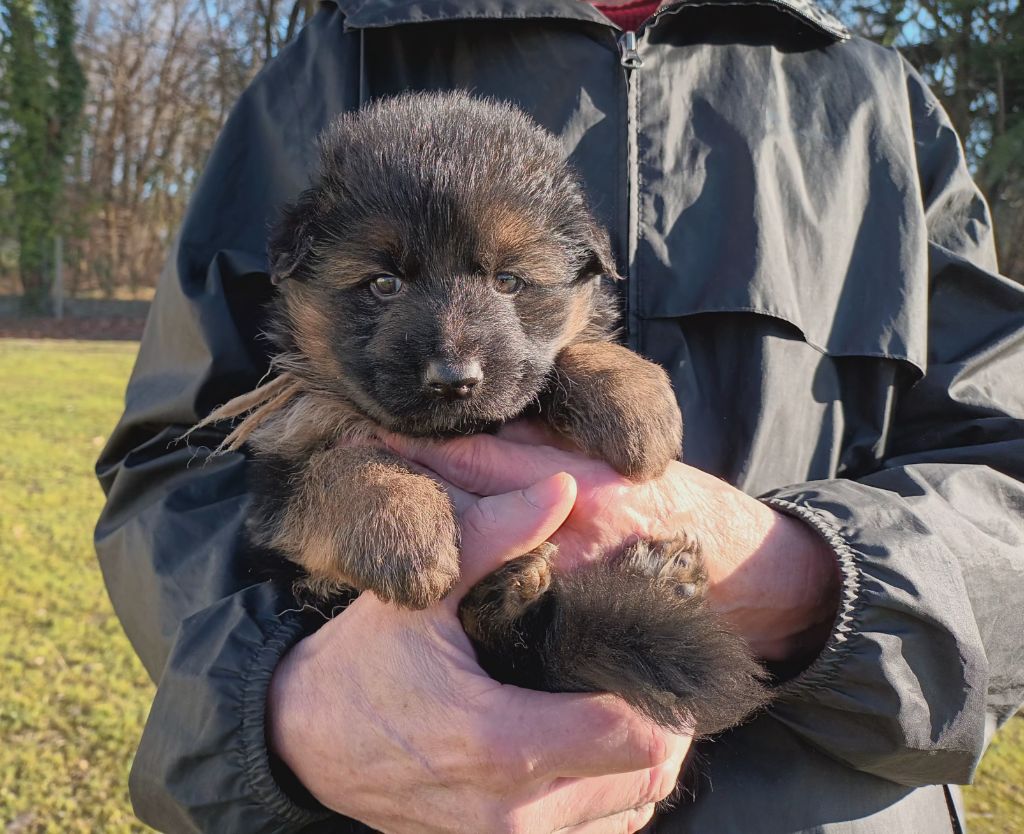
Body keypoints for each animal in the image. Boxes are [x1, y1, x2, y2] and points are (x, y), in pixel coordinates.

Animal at [195, 89, 765, 729]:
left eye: (509, 281)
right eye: (384, 283)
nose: (454, 380)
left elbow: (572, 346)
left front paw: (633, 395)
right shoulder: (276, 484)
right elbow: (341, 468)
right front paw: (405, 528)